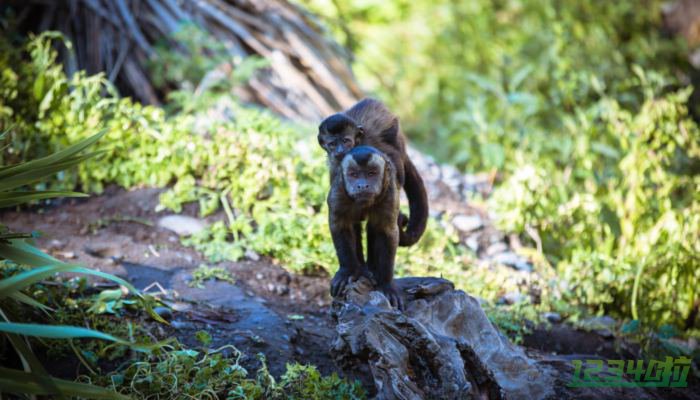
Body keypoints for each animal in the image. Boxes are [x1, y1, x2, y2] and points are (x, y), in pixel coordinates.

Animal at [318, 97, 430, 247]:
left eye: (346, 141)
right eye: (332, 144)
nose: (340, 150)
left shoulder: (369, 144)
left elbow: (393, 161)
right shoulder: (334, 165)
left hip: (396, 134)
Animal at [330, 145, 404, 308]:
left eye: (371, 173)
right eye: (354, 174)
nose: (362, 185)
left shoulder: (389, 192)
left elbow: (387, 232)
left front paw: (386, 284)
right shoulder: (339, 190)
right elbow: (340, 225)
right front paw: (347, 271)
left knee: (374, 227)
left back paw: (372, 269)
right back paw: (360, 270)